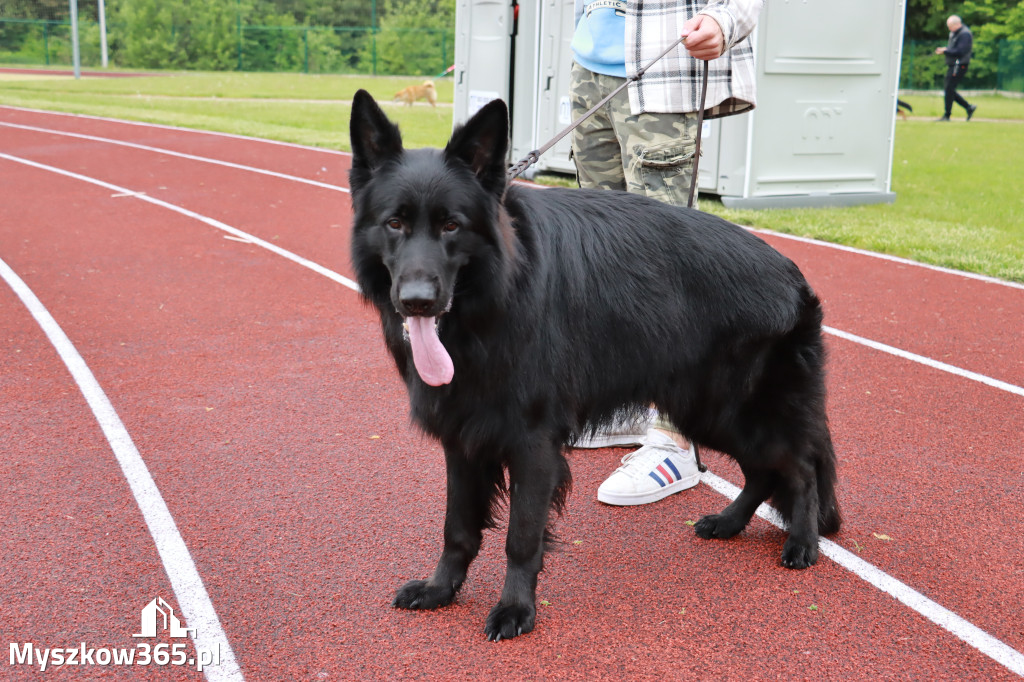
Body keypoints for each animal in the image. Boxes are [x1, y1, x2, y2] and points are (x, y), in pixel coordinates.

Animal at [346, 89, 839, 638]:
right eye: (395, 224)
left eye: (452, 225)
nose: (416, 302)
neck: (496, 296)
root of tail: (794, 274)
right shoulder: (463, 436)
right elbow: (457, 528)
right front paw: (440, 589)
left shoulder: (532, 445)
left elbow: (521, 537)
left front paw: (515, 609)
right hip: (706, 411)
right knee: (764, 471)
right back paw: (729, 523)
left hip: (735, 408)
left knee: (798, 466)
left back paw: (802, 543)